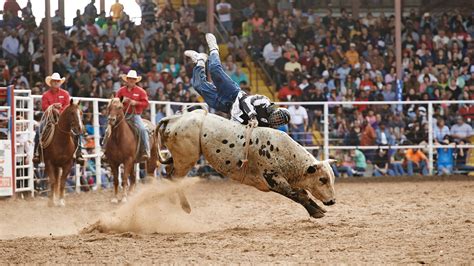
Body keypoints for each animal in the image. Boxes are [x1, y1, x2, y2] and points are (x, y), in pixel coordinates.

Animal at [157, 109, 336, 217]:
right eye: (322, 179)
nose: (333, 201)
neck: (283, 152)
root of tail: (174, 118)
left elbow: (302, 193)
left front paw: (319, 208)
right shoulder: (273, 179)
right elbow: (296, 194)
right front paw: (316, 212)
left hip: (178, 158)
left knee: (168, 174)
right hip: (186, 158)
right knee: (174, 178)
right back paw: (185, 206)